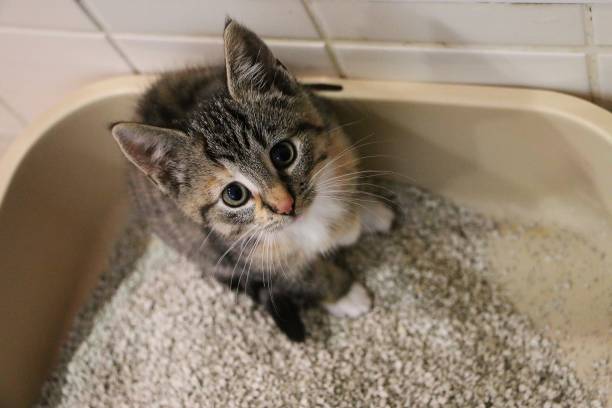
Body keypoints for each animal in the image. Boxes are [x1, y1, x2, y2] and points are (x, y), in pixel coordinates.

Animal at [110, 18, 394, 342]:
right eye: (234, 195)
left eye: (283, 153)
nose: (285, 205)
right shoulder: (249, 256)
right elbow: (303, 277)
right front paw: (345, 294)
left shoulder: (334, 134)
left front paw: (364, 211)